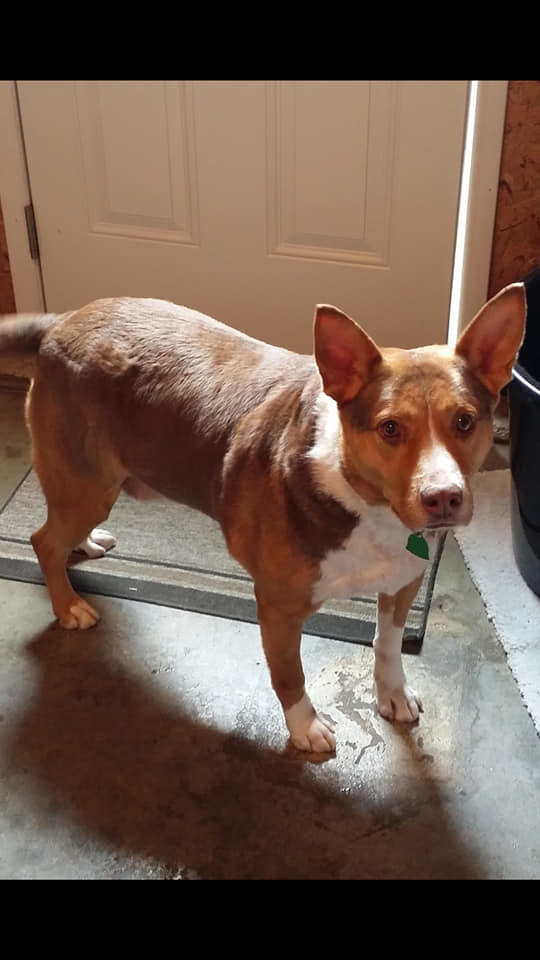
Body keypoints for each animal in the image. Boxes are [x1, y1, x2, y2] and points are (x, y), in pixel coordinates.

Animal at [0, 284, 524, 752]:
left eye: (464, 421)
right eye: (390, 428)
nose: (444, 499)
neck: (366, 505)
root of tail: (63, 320)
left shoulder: (404, 581)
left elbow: (388, 645)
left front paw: (392, 693)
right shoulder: (278, 606)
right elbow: (290, 675)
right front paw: (305, 728)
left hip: (87, 488)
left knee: (58, 532)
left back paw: (85, 544)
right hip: (86, 485)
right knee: (42, 539)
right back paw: (68, 606)